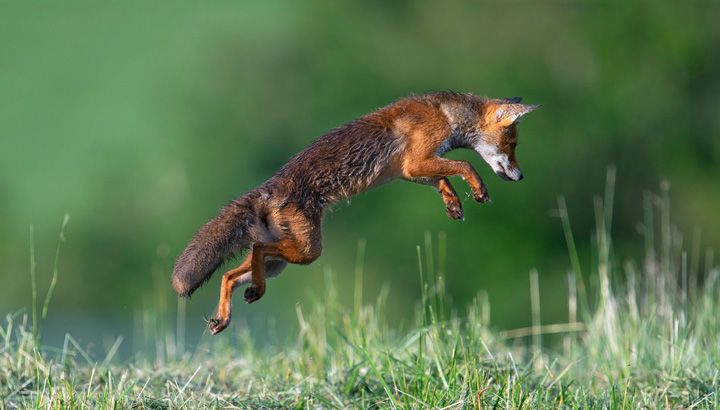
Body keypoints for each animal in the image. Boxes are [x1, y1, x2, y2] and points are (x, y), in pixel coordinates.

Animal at [172, 92, 539, 335]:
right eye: (512, 147)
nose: (522, 176)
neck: (445, 115)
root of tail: (267, 188)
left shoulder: (410, 170)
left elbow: (444, 179)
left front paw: (453, 204)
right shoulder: (416, 160)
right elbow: (465, 165)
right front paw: (479, 190)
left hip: (283, 261)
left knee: (231, 274)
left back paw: (227, 315)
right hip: (307, 252)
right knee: (256, 250)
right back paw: (253, 293)